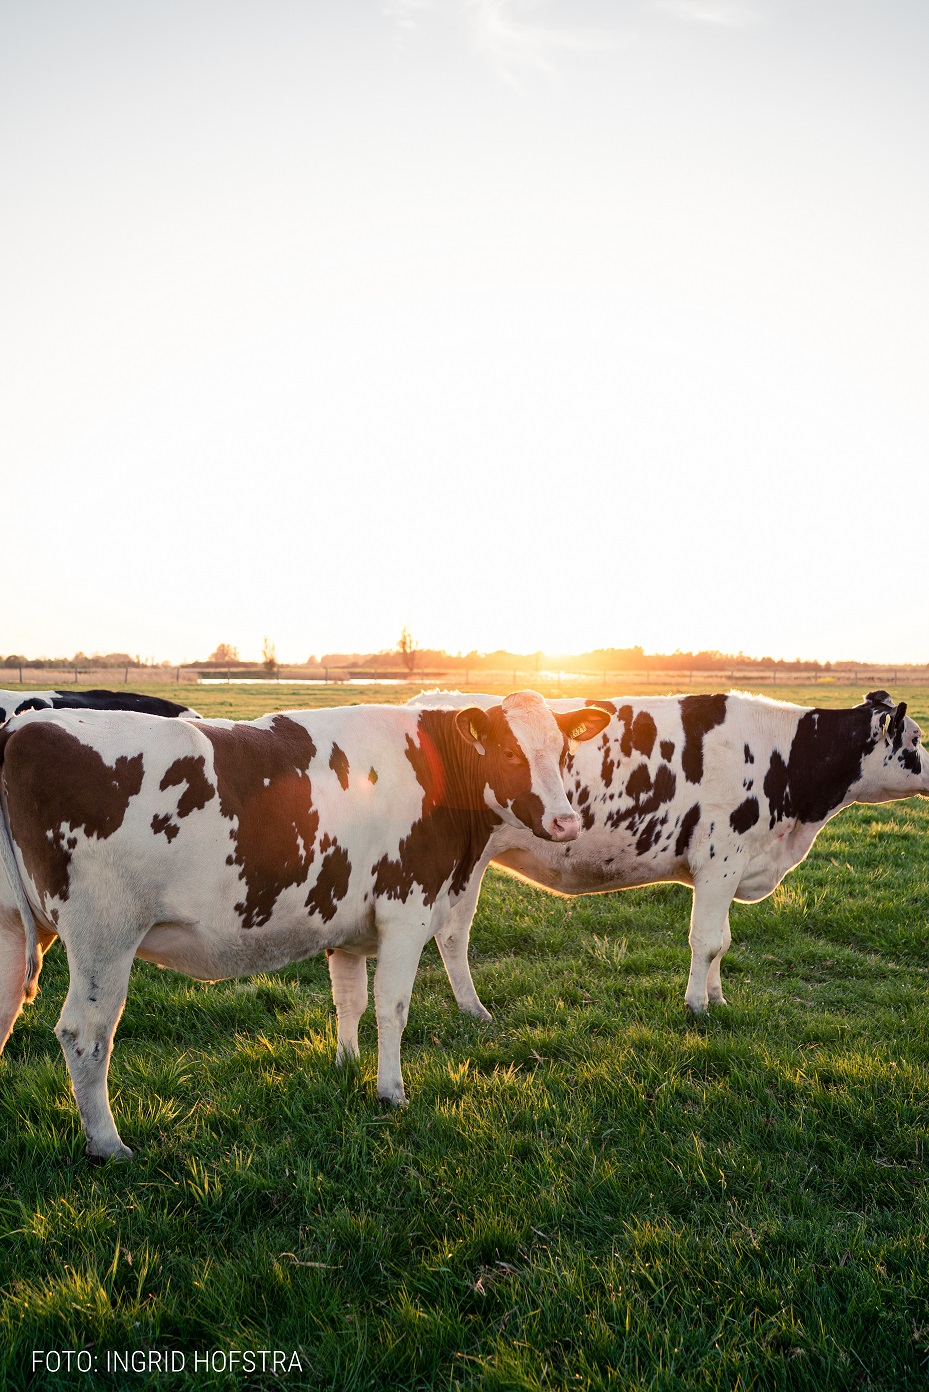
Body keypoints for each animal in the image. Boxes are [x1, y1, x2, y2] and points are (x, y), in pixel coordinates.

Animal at [0, 692, 610, 1158]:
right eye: (509, 751)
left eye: (563, 751)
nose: (566, 821)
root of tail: (23, 726)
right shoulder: (406, 907)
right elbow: (392, 1006)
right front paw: (391, 1091)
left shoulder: (350, 924)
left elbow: (350, 1000)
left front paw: (346, 1065)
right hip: (104, 934)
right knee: (85, 1035)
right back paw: (108, 1145)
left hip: (13, 928)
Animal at [408, 689, 929, 1017]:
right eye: (916, 738)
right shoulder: (721, 860)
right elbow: (707, 940)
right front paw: (697, 1006)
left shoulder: (730, 868)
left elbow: (724, 940)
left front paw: (717, 999)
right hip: (467, 862)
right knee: (452, 936)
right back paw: (473, 1010)